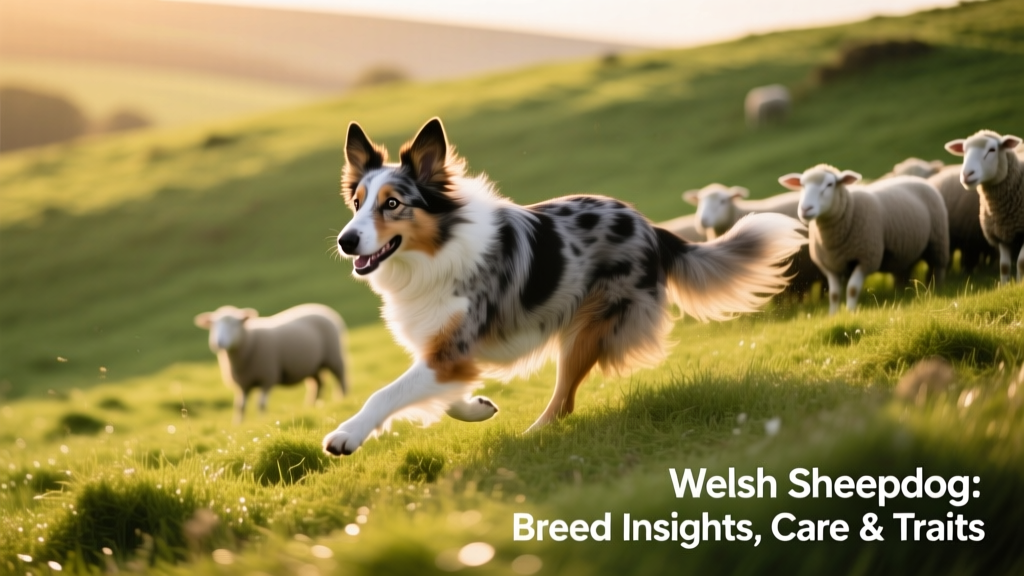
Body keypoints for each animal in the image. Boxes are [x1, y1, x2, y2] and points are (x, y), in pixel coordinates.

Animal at [194, 303, 348, 422]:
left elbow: (261, 404)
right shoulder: (243, 384)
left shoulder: (267, 377)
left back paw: (342, 399)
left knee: (341, 379)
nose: (218, 343)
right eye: (213, 325)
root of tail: (323, 308)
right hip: (312, 365)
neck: (249, 341)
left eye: (235, 324)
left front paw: (262, 421)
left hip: (334, 356)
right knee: (318, 384)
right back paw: (312, 406)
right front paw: (238, 424)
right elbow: (240, 406)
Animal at [780, 165, 949, 315]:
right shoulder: (830, 266)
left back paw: (937, 290)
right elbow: (834, 294)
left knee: (938, 268)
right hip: (905, 252)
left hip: (938, 241)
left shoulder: (866, 259)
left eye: (829, 184)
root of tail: (914, 178)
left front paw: (851, 313)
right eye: (802, 185)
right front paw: (833, 316)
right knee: (904, 272)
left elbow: (852, 289)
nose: (805, 209)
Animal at [944, 130, 1024, 284]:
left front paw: (1019, 283)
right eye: (964, 151)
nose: (966, 174)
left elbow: (1021, 262)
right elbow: (1004, 266)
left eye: (992, 150)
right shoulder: (1001, 234)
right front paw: (1005, 286)